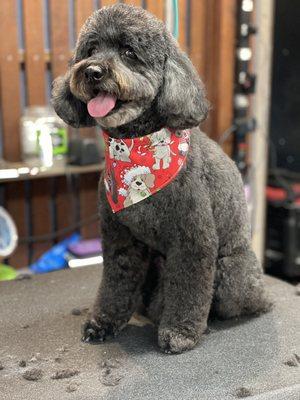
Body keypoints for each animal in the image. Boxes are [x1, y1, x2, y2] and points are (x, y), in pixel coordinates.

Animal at [52, 3, 270, 354]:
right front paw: (103, 323)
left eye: (129, 52)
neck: (136, 147)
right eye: (90, 50)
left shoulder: (193, 240)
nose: (92, 72)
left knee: (234, 301)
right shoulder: (119, 239)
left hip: (230, 271)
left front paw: (180, 331)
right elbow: (115, 284)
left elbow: (188, 289)